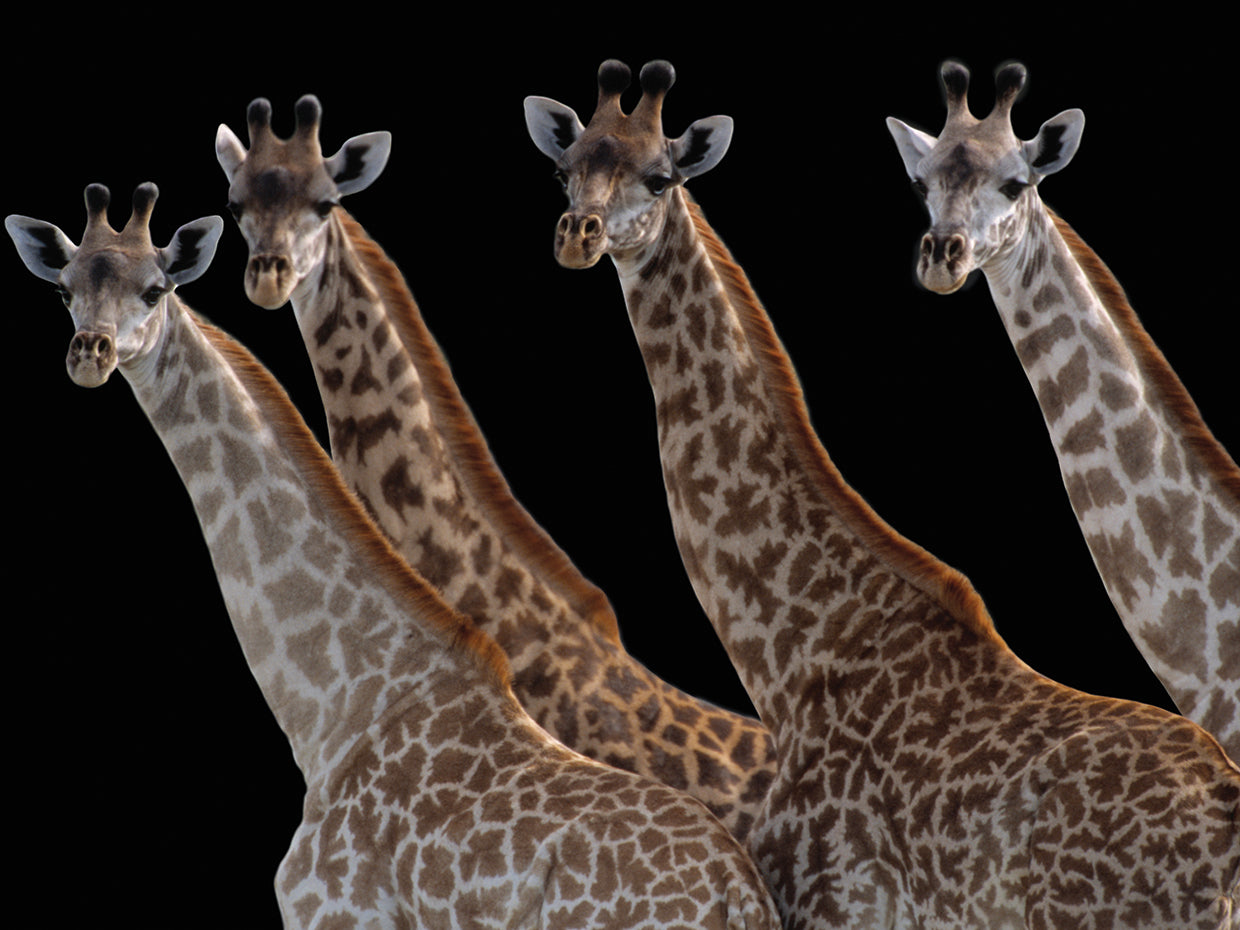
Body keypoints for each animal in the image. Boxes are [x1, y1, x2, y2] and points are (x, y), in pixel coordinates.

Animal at [5, 182, 785, 929]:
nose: (91, 353)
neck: (338, 704)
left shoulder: (336, 914)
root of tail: (738, 896)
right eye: (65, 289)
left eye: (154, 288)